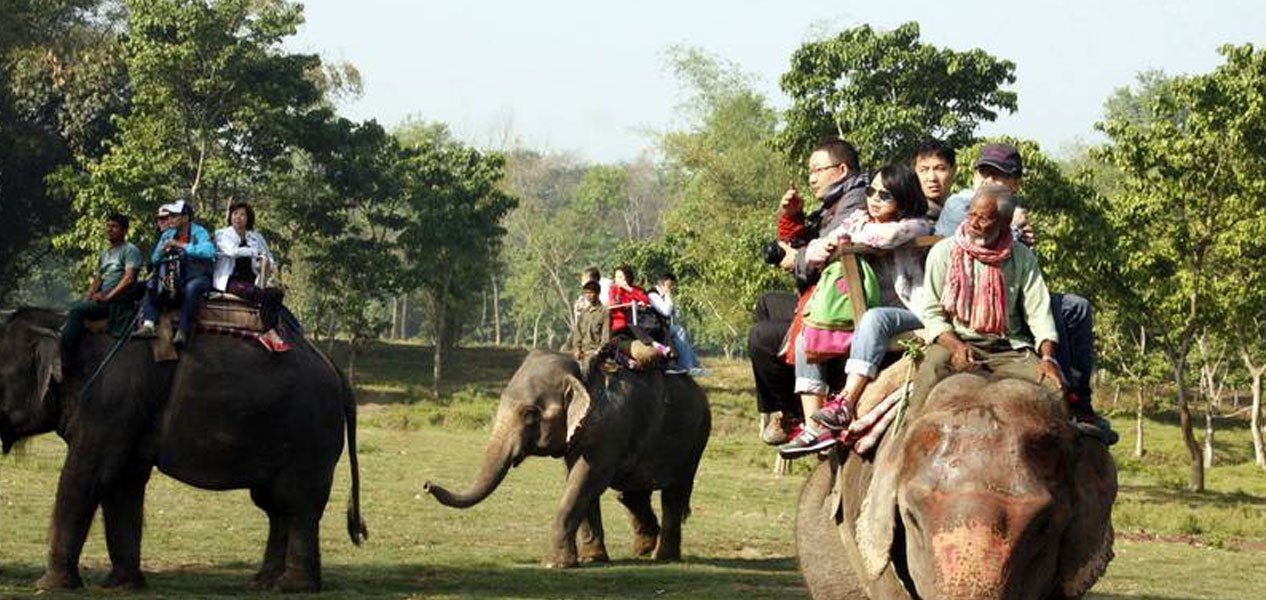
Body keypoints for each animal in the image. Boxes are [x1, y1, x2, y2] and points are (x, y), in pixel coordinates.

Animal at [422, 346, 703, 567]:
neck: (580, 370)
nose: (427, 484)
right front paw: (592, 559)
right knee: (631, 494)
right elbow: (577, 479)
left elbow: (586, 479)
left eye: (530, 414)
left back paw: (663, 557)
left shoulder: (610, 428)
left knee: (673, 494)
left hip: (693, 444)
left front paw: (556, 564)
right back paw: (645, 547)